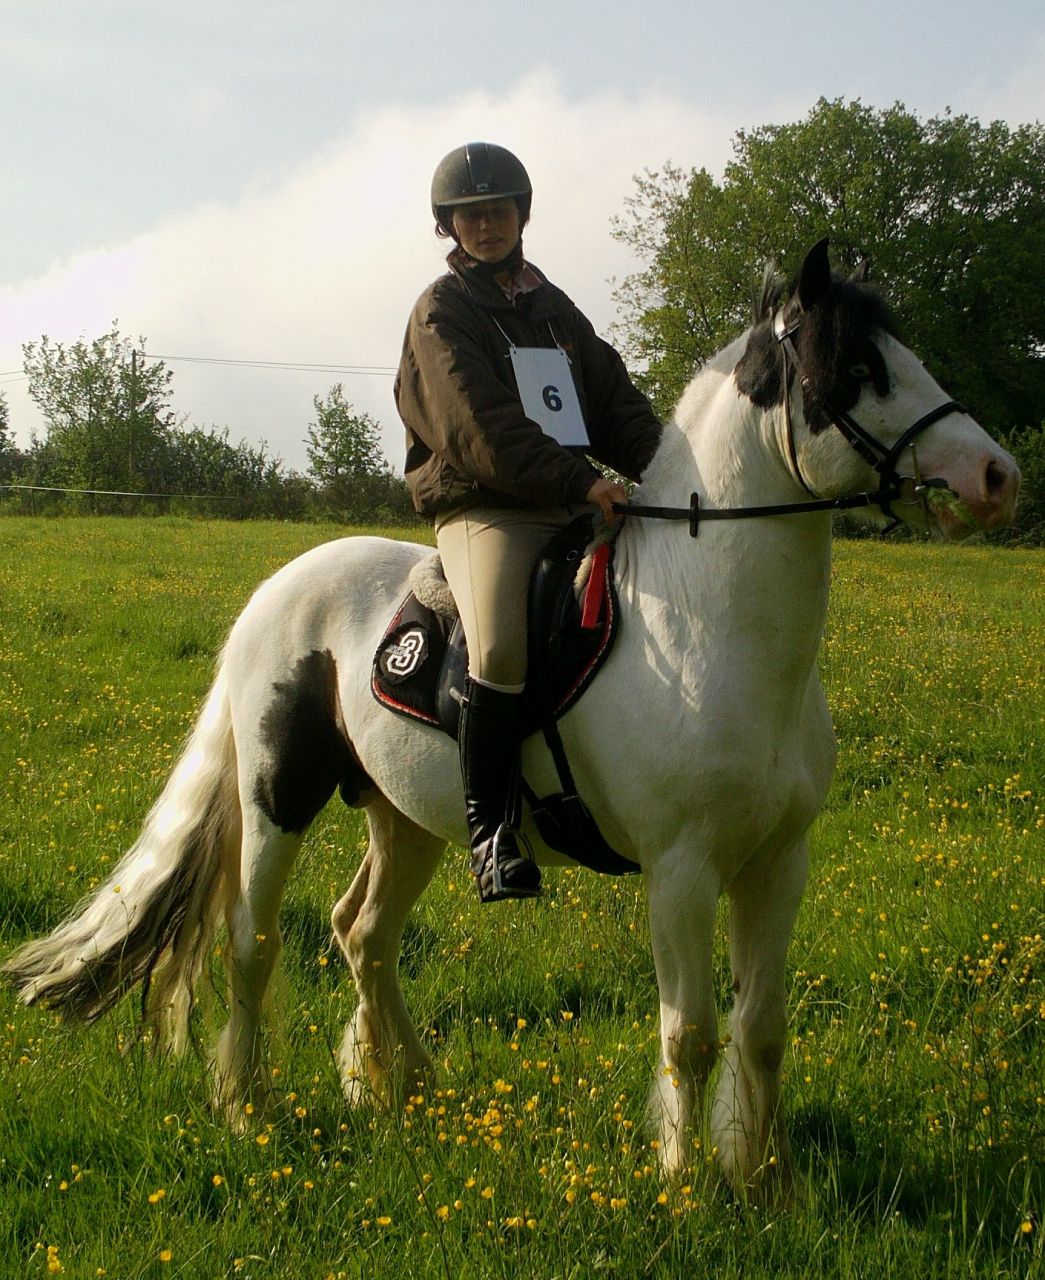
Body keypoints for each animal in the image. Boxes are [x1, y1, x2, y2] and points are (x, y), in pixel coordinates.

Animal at [4, 241, 1019, 1198]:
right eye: (854, 367)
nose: (996, 475)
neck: (705, 628)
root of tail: (274, 595)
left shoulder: (778, 861)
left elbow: (762, 1029)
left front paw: (764, 1182)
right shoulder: (681, 871)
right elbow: (689, 1033)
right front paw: (687, 1189)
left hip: (407, 819)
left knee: (362, 933)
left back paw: (404, 1087)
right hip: (276, 803)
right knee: (254, 941)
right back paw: (246, 1108)